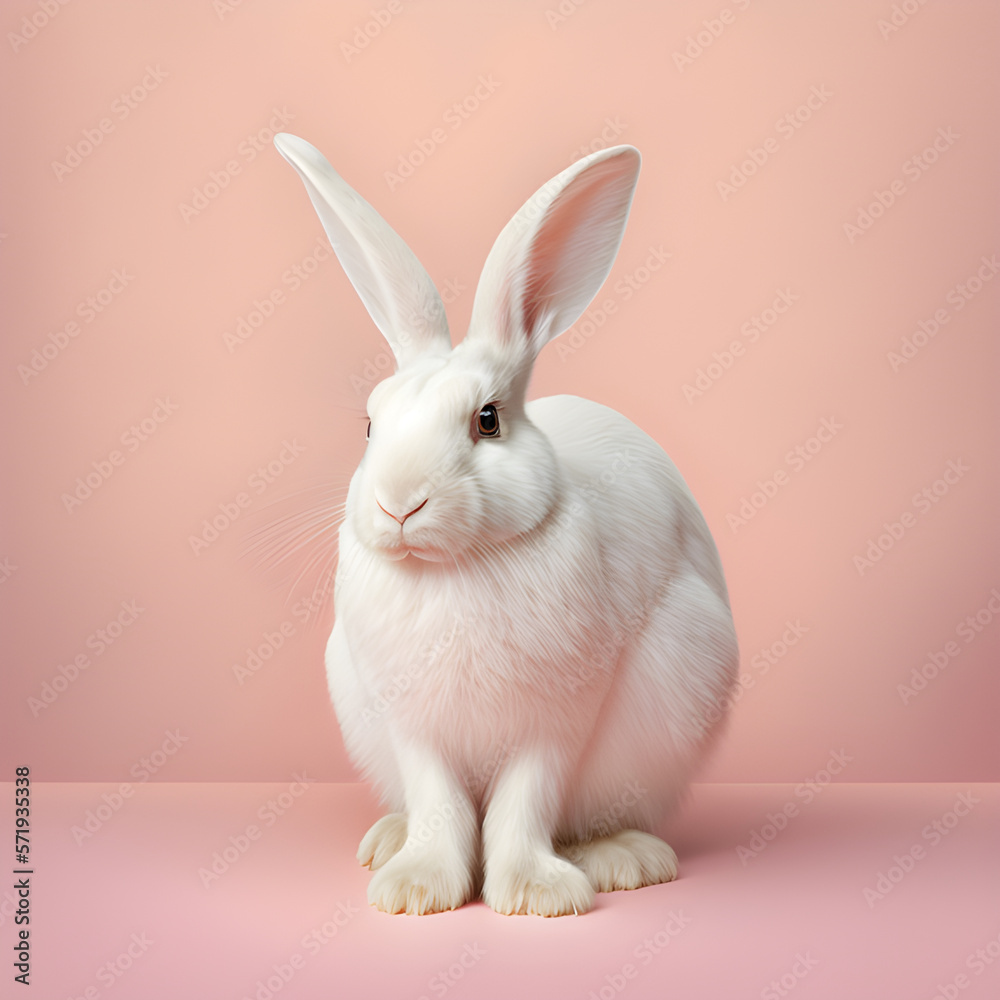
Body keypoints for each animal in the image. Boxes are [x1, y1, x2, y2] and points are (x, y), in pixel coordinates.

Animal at [274, 132, 739, 917]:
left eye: (487, 420)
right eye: (370, 425)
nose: (399, 503)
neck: (452, 568)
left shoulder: (553, 725)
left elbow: (524, 805)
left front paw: (536, 894)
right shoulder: (412, 727)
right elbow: (440, 805)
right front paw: (415, 886)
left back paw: (620, 859)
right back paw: (387, 841)